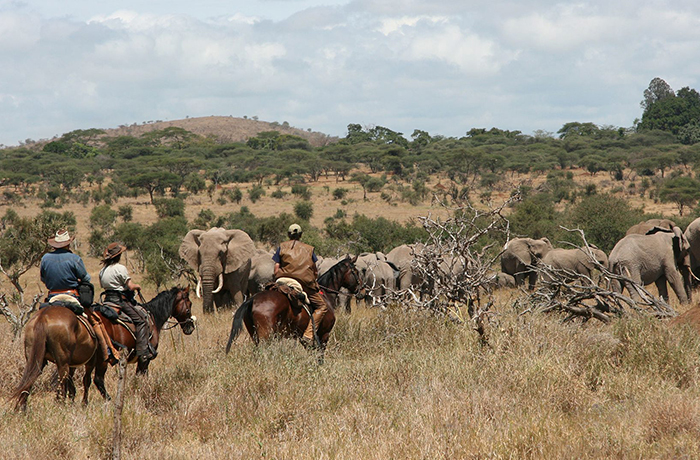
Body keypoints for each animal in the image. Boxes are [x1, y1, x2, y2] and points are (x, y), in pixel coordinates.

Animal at [13, 286, 195, 411]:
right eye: (189, 303)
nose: (190, 327)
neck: (152, 317)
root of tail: (43, 318)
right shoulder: (144, 360)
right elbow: (140, 376)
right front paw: (141, 392)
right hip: (87, 360)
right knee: (91, 380)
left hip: (40, 358)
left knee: (32, 377)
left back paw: (22, 407)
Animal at [224, 257, 361, 355]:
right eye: (356, 272)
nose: (362, 290)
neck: (326, 295)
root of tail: (253, 299)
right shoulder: (324, 334)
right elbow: (320, 355)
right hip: (266, 335)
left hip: (255, 334)